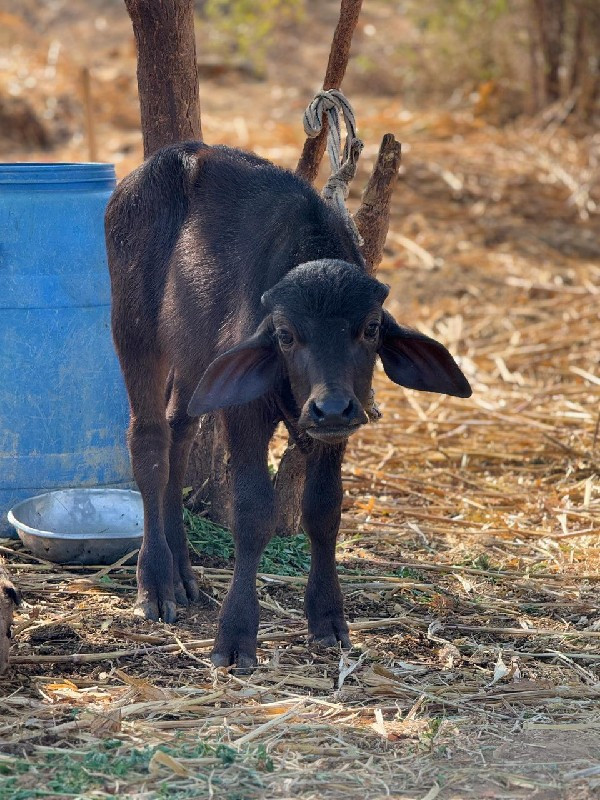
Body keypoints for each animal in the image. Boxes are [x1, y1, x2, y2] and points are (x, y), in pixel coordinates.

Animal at [108, 144, 474, 668]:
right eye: (285, 334)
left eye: (370, 328)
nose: (332, 407)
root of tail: (180, 155)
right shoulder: (244, 414)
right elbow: (252, 514)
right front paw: (236, 634)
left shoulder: (338, 431)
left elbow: (323, 510)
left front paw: (327, 618)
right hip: (134, 327)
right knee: (150, 441)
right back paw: (155, 581)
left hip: (196, 359)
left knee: (180, 431)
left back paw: (181, 571)